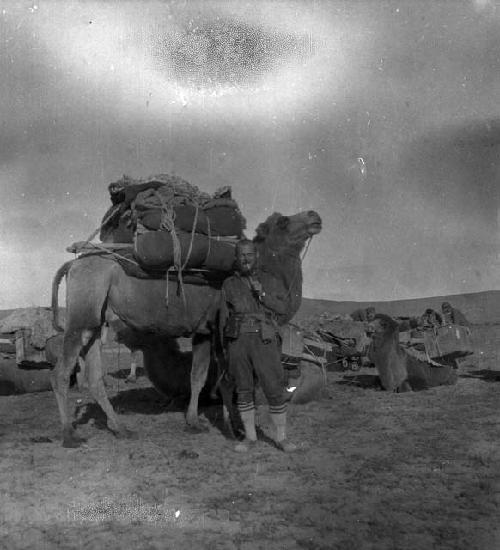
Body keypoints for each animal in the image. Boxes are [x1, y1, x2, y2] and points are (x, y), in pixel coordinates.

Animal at [50, 211, 322, 448]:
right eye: (283, 222)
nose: (314, 216)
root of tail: (72, 265)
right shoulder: (219, 330)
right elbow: (225, 380)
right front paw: (232, 427)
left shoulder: (204, 332)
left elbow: (199, 377)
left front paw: (195, 422)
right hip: (82, 311)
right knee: (61, 372)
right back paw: (69, 435)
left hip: (95, 323)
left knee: (94, 377)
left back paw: (120, 428)